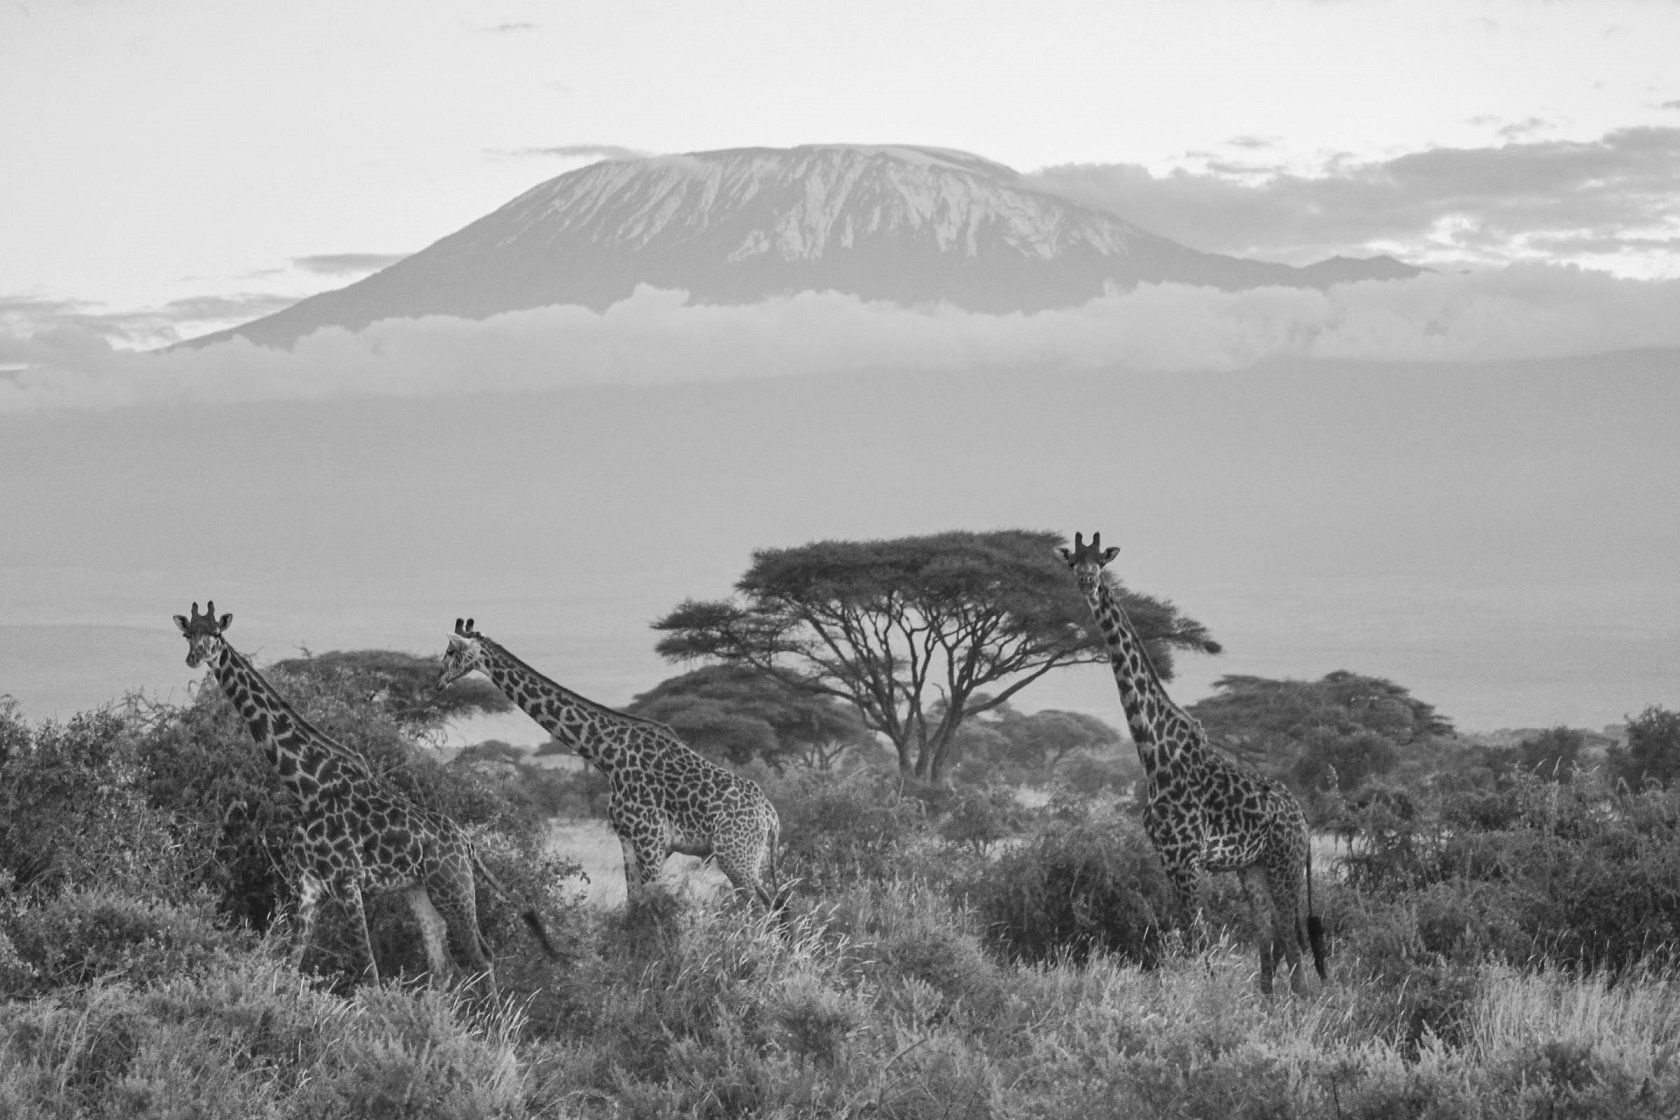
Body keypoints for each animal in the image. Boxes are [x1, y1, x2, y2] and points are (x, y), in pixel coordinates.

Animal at [174, 604, 561, 987]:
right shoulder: (311, 884)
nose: (194, 658)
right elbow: (290, 963)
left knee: (483, 957)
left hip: (454, 887)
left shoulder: (347, 882)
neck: (306, 787)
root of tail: (468, 843)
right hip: (419, 890)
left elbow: (370, 973)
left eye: (216, 634)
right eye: (188, 634)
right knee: (442, 964)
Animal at [430, 617, 776, 913]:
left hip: (736, 856)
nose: (438, 681)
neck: (608, 757)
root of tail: (771, 816)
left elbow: (658, 907)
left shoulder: (651, 840)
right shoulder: (627, 839)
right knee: (776, 904)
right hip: (754, 858)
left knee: (762, 908)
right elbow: (633, 904)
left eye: (450, 651)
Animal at [1048, 537, 1323, 994]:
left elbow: (1199, 941)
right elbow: (1186, 936)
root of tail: (1303, 818)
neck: (1156, 755)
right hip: (1253, 868)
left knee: (1293, 945)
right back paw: (1267, 1003)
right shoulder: (1167, 860)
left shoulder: (1187, 860)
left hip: (1284, 864)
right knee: (1270, 943)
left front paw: (1205, 998)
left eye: (1101, 561)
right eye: (1074, 562)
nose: (1087, 582)